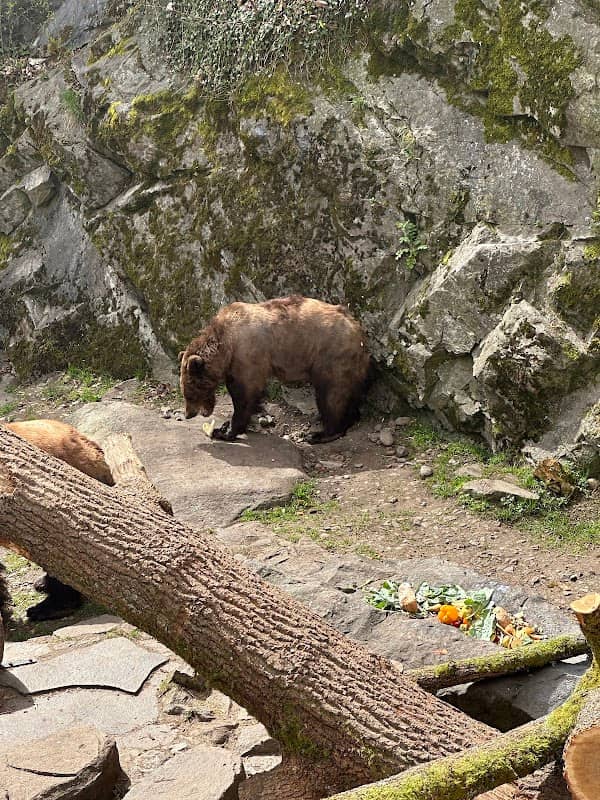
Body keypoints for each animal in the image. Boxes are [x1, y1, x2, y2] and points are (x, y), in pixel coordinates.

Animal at [179, 296, 370, 444]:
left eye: (189, 392)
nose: (189, 414)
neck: (226, 345)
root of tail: (356, 325)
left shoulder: (247, 356)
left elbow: (243, 394)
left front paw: (225, 431)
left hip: (331, 356)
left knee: (331, 395)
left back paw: (320, 434)